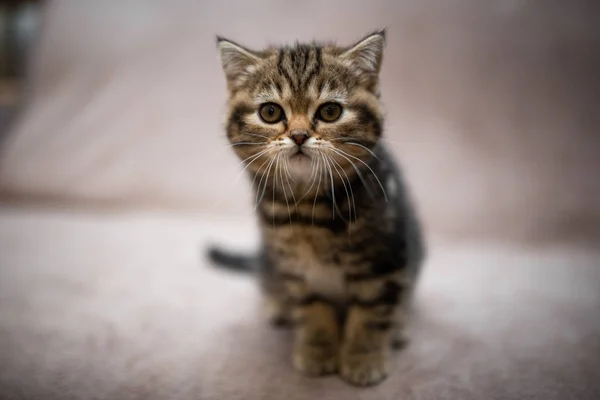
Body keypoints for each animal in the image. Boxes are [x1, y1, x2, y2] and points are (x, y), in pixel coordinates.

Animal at [209, 29, 424, 386]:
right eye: (270, 112)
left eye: (330, 112)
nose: (298, 135)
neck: (309, 208)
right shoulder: (296, 268)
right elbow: (312, 308)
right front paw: (317, 350)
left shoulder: (385, 259)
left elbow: (372, 311)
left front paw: (363, 358)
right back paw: (278, 307)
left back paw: (398, 328)